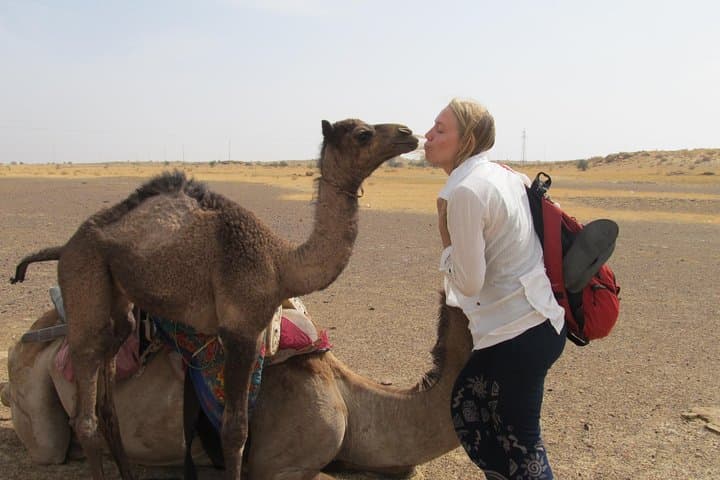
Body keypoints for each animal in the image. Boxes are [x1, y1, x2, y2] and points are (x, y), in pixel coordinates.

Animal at [8, 119, 418, 480]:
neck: (281, 263)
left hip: (118, 302)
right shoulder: (239, 330)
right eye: (363, 133)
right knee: (85, 412)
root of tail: (67, 245)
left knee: (109, 392)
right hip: (83, 278)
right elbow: (235, 430)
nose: (408, 133)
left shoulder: (251, 333)